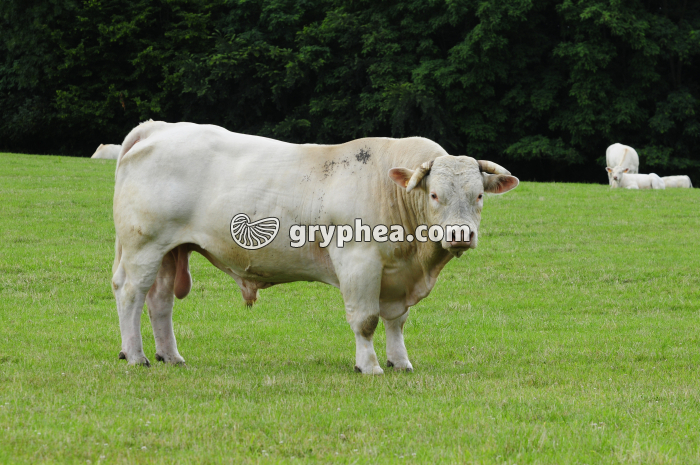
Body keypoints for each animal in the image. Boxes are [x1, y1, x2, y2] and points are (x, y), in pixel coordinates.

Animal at [111, 121, 519, 374]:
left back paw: (170, 355)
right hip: (144, 245)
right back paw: (136, 355)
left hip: (171, 250)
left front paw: (400, 362)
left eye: (479, 195)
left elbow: (396, 321)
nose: (460, 235)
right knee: (131, 293)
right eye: (435, 195)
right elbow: (366, 319)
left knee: (160, 301)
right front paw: (368, 365)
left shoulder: (396, 276)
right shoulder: (359, 261)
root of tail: (160, 127)